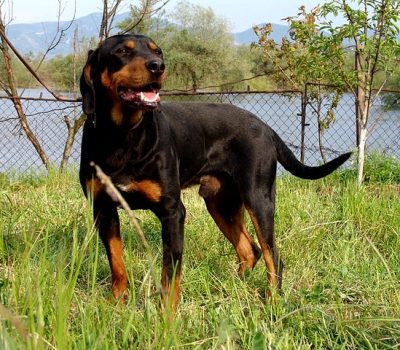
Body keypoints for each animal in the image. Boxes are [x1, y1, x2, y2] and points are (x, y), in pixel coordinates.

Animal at [79, 33, 352, 308]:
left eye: (158, 51)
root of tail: (265, 127)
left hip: (258, 199)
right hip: (221, 204)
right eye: (123, 51)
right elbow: (116, 261)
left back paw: (272, 300)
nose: (158, 66)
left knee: (272, 254)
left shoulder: (172, 212)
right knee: (249, 250)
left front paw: (166, 314)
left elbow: (170, 274)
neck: (122, 136)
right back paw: (232, 288)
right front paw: (117, 301)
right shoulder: (103, 208)